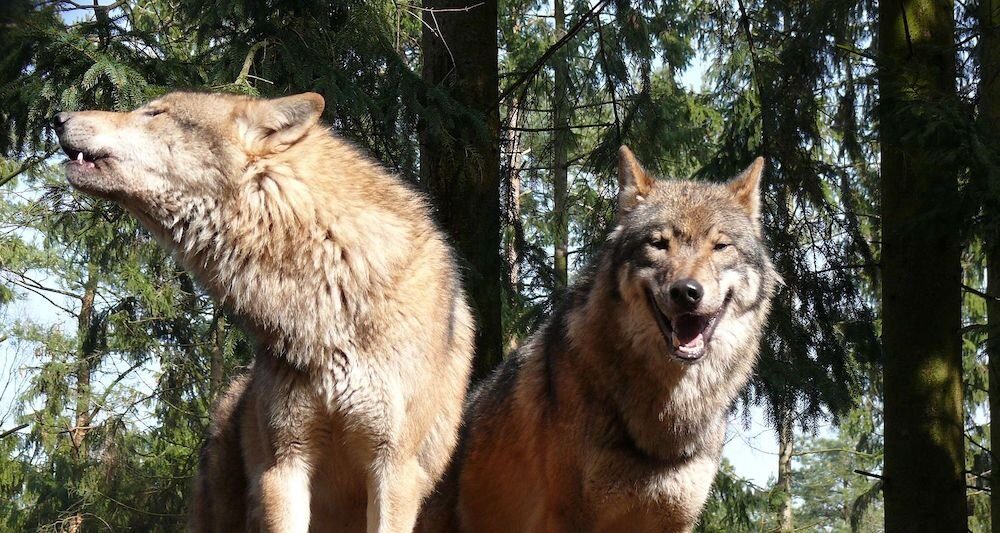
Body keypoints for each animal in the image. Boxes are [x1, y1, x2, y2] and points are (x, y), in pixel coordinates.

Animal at [417, 147, 778, 533]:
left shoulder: (676, 521)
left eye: (721, 246)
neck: (665, 419)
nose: (686, 292)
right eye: (658, 244)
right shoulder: (569, 517)